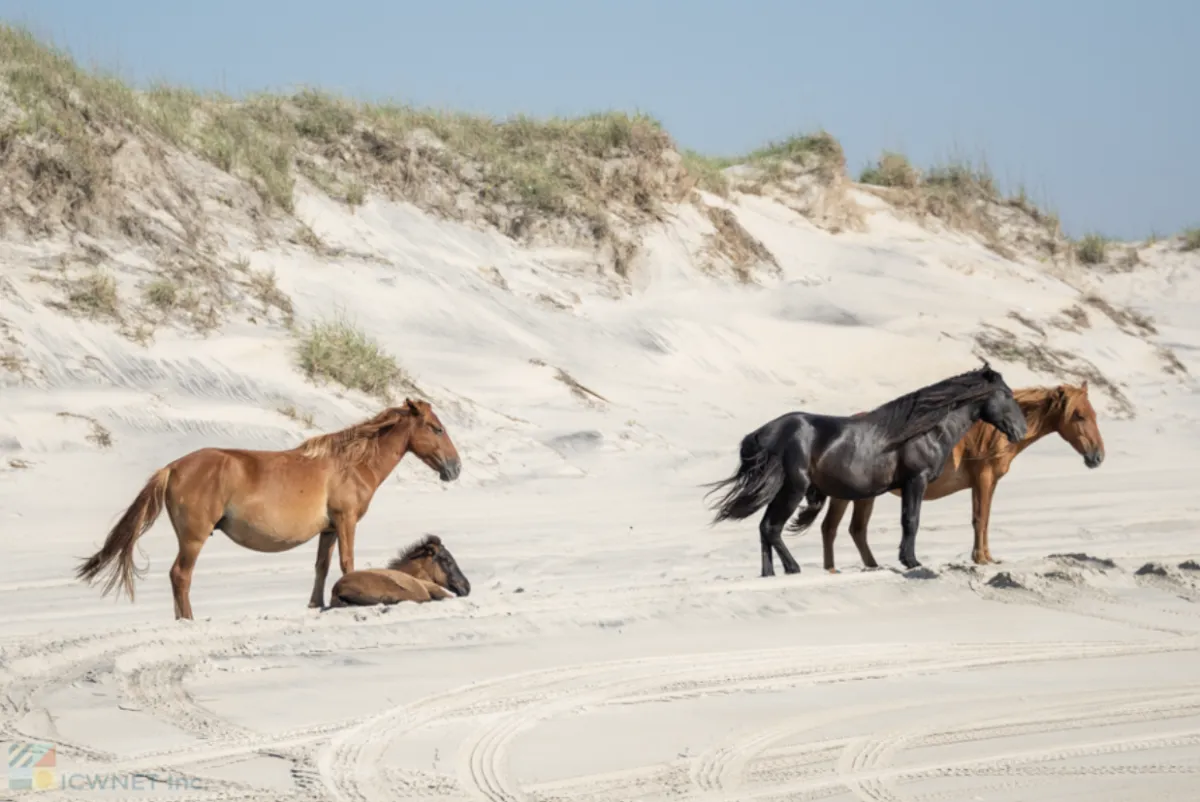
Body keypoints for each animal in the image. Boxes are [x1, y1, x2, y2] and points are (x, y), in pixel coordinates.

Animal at [704, 362, 1027, 576]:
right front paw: (910, 561)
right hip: (793, 489)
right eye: (1008, 394)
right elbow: (911, 520)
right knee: (772, 528)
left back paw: (771, 574)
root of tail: (762, 433)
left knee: (764, 528)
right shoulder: (916, 481)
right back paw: (793, 568)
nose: (1020, 430)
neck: (927, 429)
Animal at [790, 382, 1105, 571]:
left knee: (853, 530)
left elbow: (983, 519)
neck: (994, 431)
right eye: (1078, 415)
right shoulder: (984, 479)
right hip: (847, 495)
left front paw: (986, 557)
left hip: (863, 496)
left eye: (1093, 413)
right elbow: (980, 518)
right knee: (831, 528)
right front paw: (981, 559)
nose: (1097, 456)